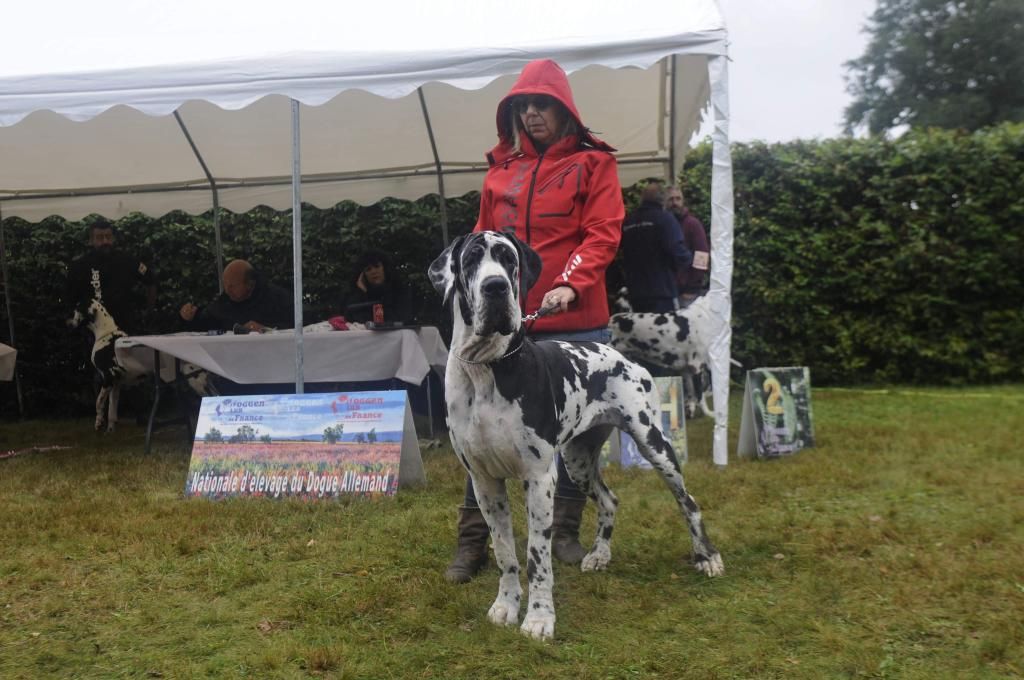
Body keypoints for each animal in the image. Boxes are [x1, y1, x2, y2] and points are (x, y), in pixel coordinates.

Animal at [428, 231, 724, 639]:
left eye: (508, 259)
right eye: (471, 259)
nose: (495, 287)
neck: (486, 368)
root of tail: (616, 352)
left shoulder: (539, 478)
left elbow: (537, 557)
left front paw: (539, 618)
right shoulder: (484, 481)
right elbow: (505, 552)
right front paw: (505, 606)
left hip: (654, 444)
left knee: (688, 502)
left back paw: (706, 557)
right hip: (578, 459)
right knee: (610, 500)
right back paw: (599, 555)